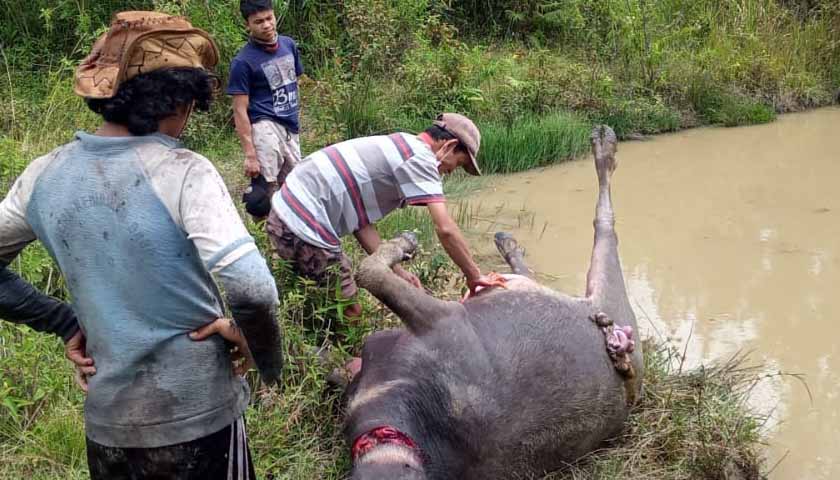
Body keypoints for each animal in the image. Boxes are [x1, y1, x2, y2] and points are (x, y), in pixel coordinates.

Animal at [338, 126, 640, 480]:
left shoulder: (441, 317)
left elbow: (367, 271)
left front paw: (403, 243)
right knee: (528, 271)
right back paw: (508, 243)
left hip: (608, 290)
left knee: (604, 223)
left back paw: (604, 145)